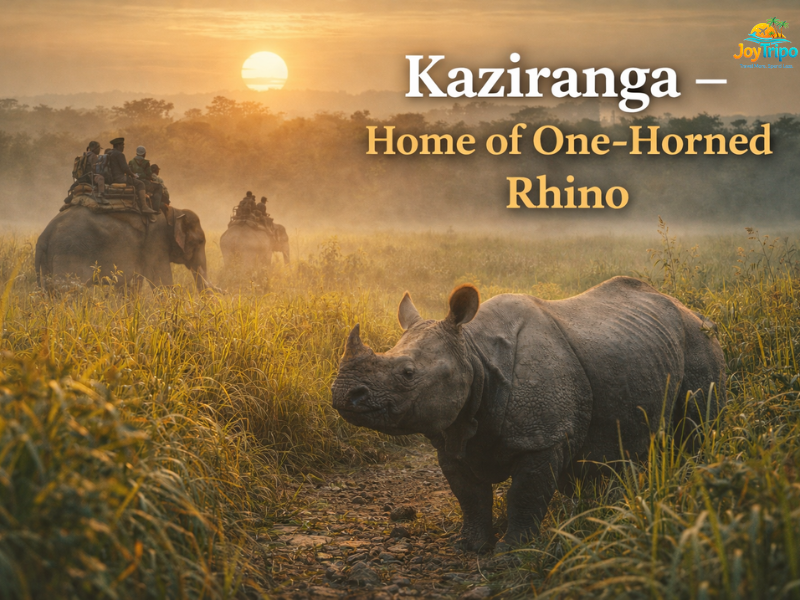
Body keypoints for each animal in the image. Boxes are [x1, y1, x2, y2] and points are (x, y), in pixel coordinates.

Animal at [331, 276, 726, 551]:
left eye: (408, 373)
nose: (342, 394)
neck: (473, 353)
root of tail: (692, 309)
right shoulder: (451, 437)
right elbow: (470, 496)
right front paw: (470, 546)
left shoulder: (542, 439)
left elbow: (525, 494)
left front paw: (511, 551)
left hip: (699, 339)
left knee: (697, 424)